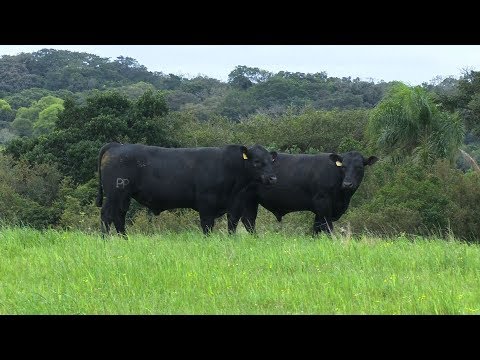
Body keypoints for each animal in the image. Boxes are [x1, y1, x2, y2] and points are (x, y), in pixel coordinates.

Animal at [95, 142, 278, 235]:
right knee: (107, 215)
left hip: (124, 196)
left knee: (119, 216)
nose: (272, 178)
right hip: (114, 193)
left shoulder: (235, 205)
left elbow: (232, 225)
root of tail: (116, 145)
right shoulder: (206, 202)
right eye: (257, 162)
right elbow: (207, 225)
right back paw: (105, 240)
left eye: (271, 161)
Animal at [240, 150, 378, 235]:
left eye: (359, 167)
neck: (342, 198)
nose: (348, 184)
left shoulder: (320, 209)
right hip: (246, 199)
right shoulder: (322, 202)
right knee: (248, 221)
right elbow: (327, 227)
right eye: (343, 166)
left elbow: (316, 229)